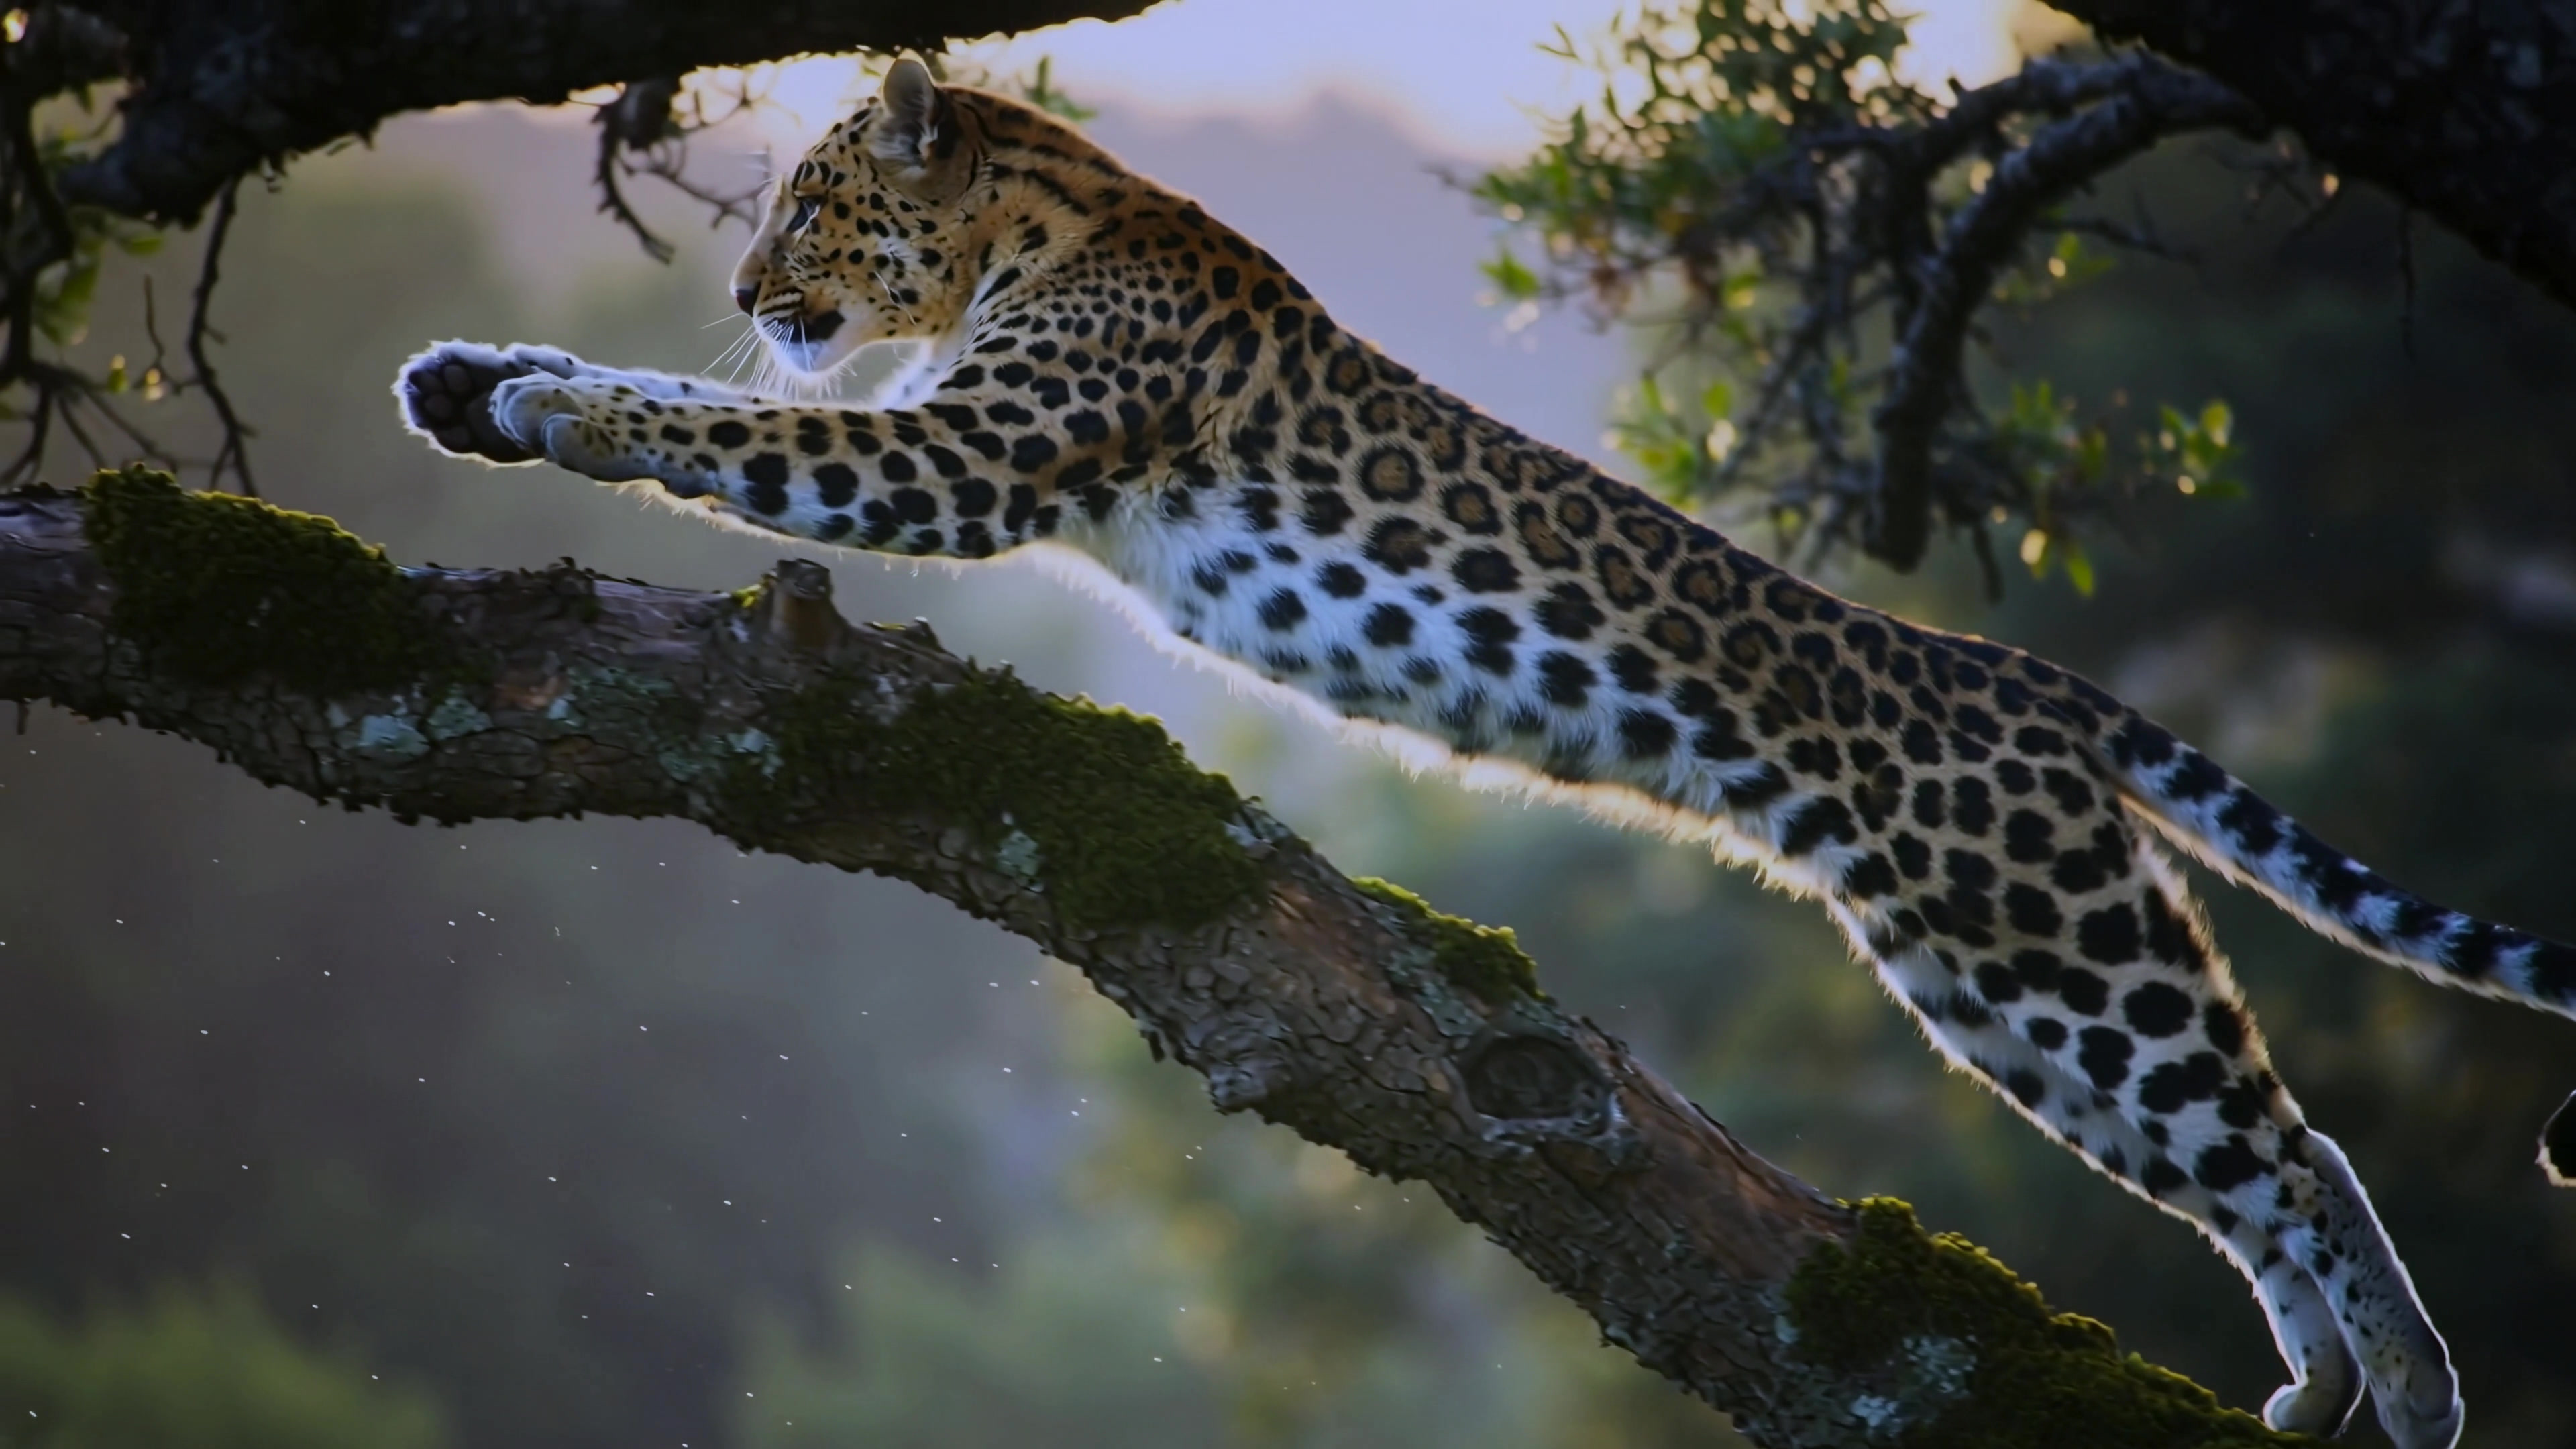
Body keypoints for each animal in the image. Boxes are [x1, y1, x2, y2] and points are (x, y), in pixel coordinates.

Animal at [396, 58, 2576, 1449]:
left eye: (813, 208)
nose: (752, 286)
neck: (1044, 213)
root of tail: (2016, 677)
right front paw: (469, 380)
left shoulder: (965, 455)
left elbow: (737, 427)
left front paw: (570, 407)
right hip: (1978, 978)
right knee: (2242, 1155)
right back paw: (2316, 1386)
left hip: (2039, 939)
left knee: (2281, 1141)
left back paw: (2413, 1389)